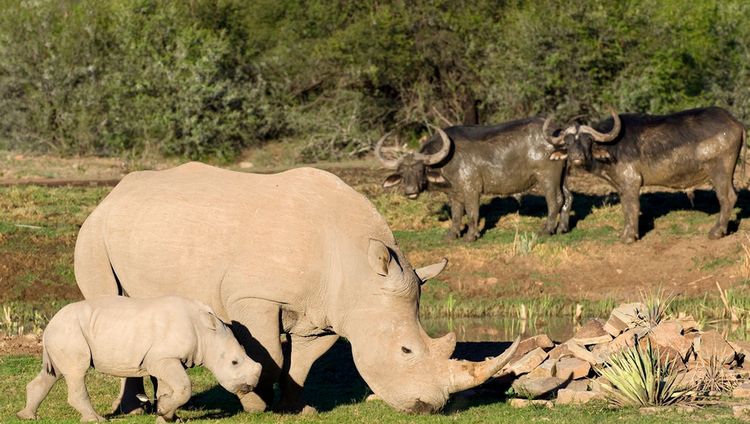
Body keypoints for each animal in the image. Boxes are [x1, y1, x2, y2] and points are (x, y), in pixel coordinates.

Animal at [16, 296, 262, 422]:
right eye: (234, 363)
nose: (249, 387)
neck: (207, 332)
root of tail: (50, 322)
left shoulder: (164, 358)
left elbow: (170, 388)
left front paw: (166, 415)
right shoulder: (163, 357)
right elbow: (184, 386)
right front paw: (165, 413)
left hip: (63, 332)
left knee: (53, 373)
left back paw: (26, 416)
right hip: (69, 331)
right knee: (77, 372)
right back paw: (96, 419)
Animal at [378, 117, 572, 240]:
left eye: (420, 170)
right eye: (402, 172)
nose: (410, 191)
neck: (448, 160)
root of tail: (557, 135)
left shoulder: (471, 189)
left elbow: (472, 213)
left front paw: (471, 236)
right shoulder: (454, 194)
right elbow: (456, 214)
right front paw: (452, 235)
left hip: (547, 178)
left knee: (555, 200)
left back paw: (546, 230)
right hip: (562, 177)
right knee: (568, 197)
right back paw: (562, 229)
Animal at [548, 107, 748, 243]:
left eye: (587, 140)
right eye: (568, 143)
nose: (576, 157)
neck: (612, 148)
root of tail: (735, 122)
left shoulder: (632, 182)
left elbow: (632, 207)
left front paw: (630, 237)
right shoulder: (621, 186)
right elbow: (625, 208)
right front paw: (625, 233)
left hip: (719, 172)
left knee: (727, 197)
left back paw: (716, 231)